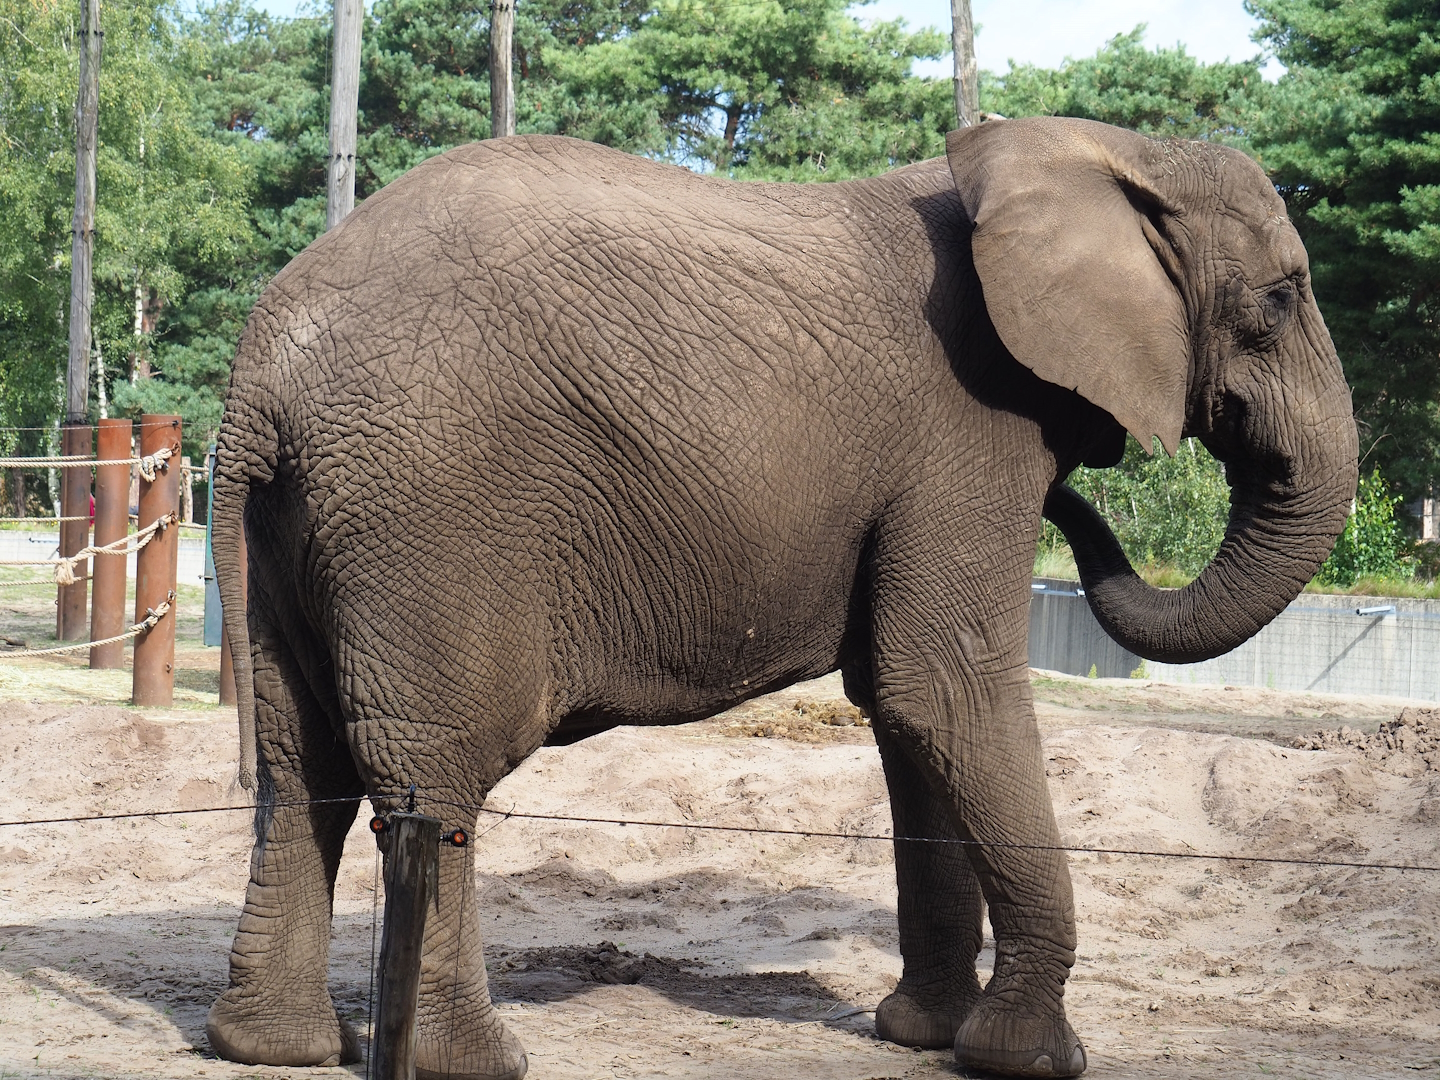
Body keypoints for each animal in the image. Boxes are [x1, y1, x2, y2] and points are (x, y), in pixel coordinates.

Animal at [206, 116, 1357, 1078]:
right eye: (1282, 298)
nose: (1077, 506)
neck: (1101, 148)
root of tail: (261, 370)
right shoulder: (967, 435)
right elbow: (947, 687)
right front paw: (1030, 1059)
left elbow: (906, 707)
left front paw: (920, 1036)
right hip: (432, 511)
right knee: (433, 771)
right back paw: (474, 1063)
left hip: (299, 525)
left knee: (300, 763)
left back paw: (277, 1048)